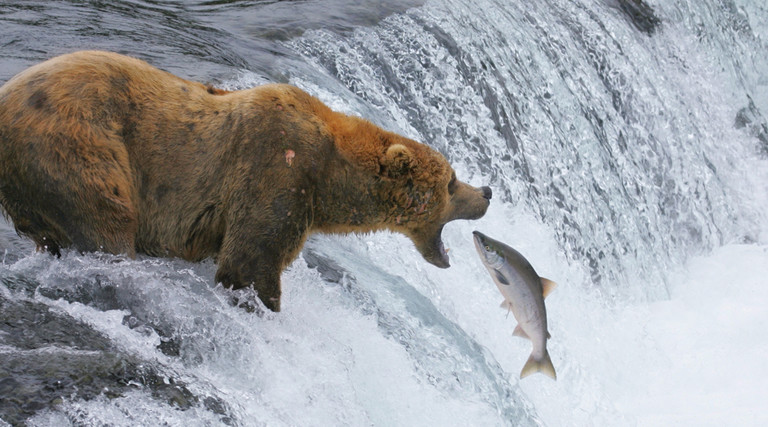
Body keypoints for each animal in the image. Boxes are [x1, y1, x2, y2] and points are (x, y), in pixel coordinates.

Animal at [0, 51, 492, 310]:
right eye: (451, 182)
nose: (486, 192)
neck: (331, 179)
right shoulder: (275, 169)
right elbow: (251, 263)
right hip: (77, 146)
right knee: (107, 222)